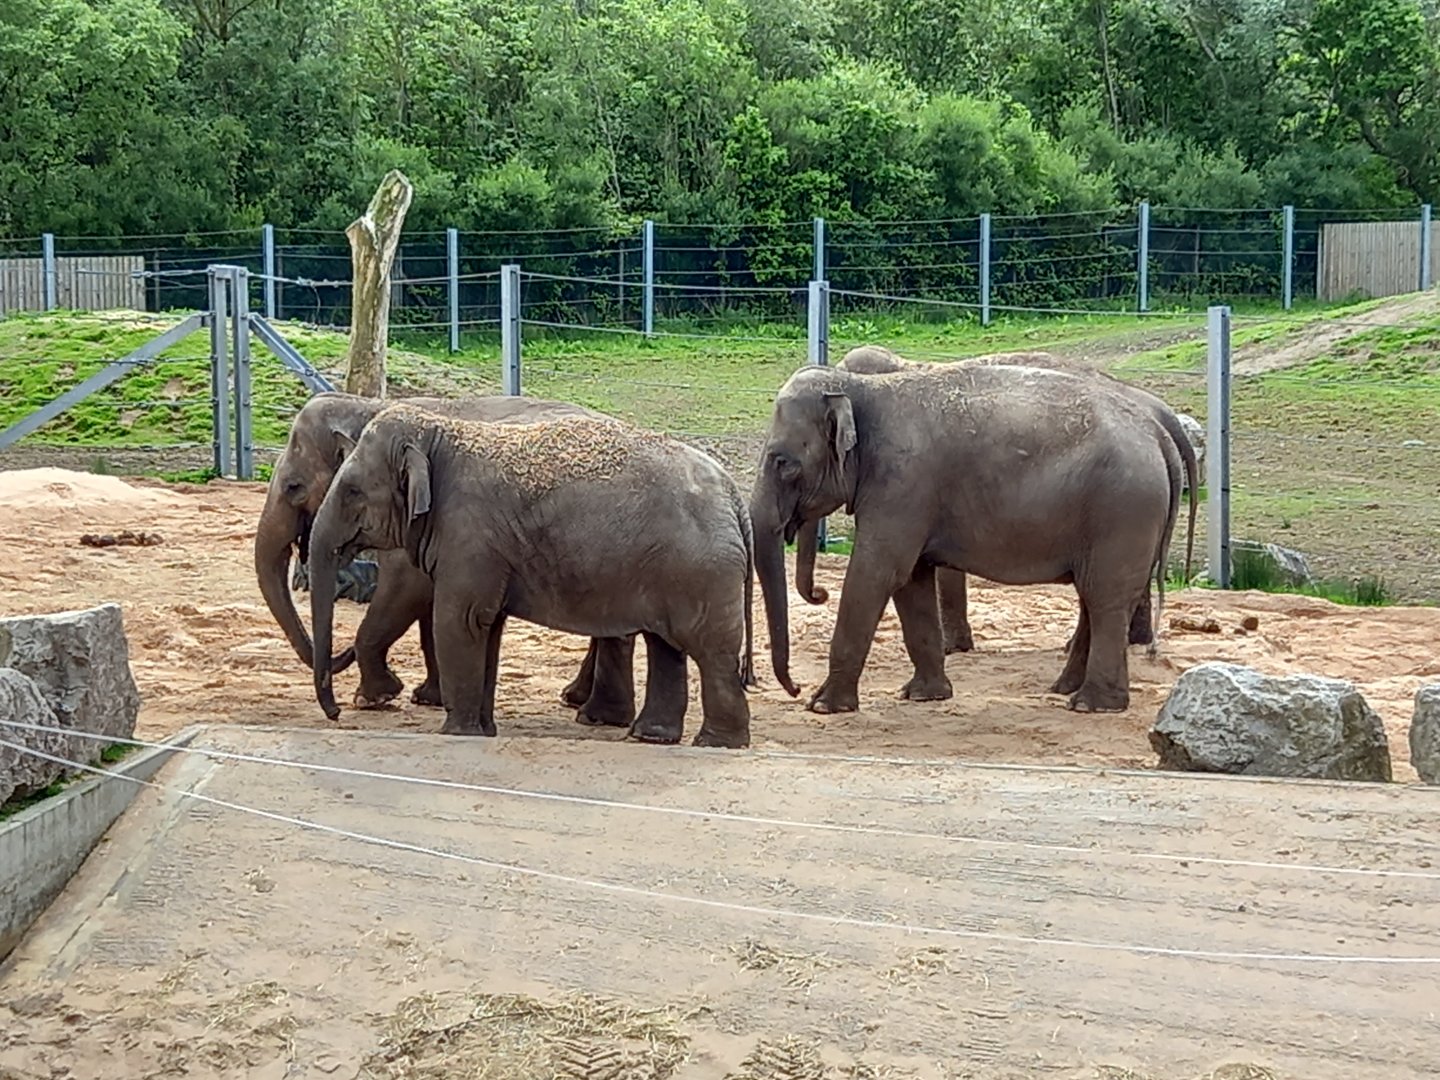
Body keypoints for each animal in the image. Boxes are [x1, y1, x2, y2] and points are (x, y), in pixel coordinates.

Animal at [254, 391, 638, 726]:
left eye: (293, 487)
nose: (334, 714)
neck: (368, 405)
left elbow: (404, 591)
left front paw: (374, 697)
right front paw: (427, 697)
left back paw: (591, 712)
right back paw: (575, 698)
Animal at [307, 401, 756, 748]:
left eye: (351, 490)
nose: (335, 713)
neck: (442, 433)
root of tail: (734, 495)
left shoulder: (469, 536)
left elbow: (460, 620)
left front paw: (457, 734)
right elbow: (488, 626)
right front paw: (483, 732)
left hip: (701, 572)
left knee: (710, 650)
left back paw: (715, 743)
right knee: (666, 645)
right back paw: (651, 737)